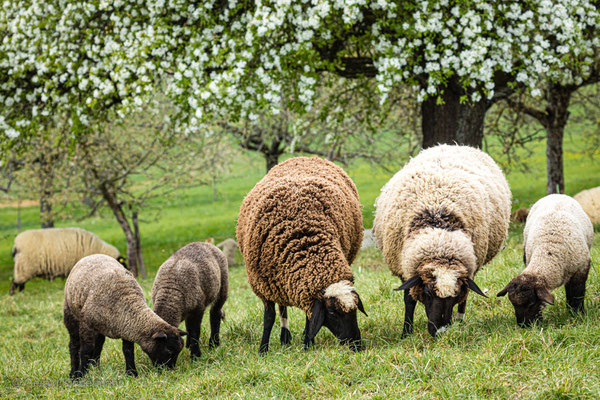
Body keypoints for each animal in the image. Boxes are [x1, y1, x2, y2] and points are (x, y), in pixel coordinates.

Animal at [237, 156, 368, 354]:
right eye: (332, 312)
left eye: (354, 310)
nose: (356, 345)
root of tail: (306, 157)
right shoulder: (263, 285)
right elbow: (269, 317)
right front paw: (263, 350)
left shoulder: (307, 290)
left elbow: (310, 316)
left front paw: (307, 343)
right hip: (274, 281)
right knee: (282, 307)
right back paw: (284, 337)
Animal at [376, 144, 510, 338]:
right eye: (427, 293)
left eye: (454, 296)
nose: (440, 332)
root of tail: (455, 145)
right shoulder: (405, 268)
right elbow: (409, 300)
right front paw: (406, 332)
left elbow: (464, 295)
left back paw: (460, 319)